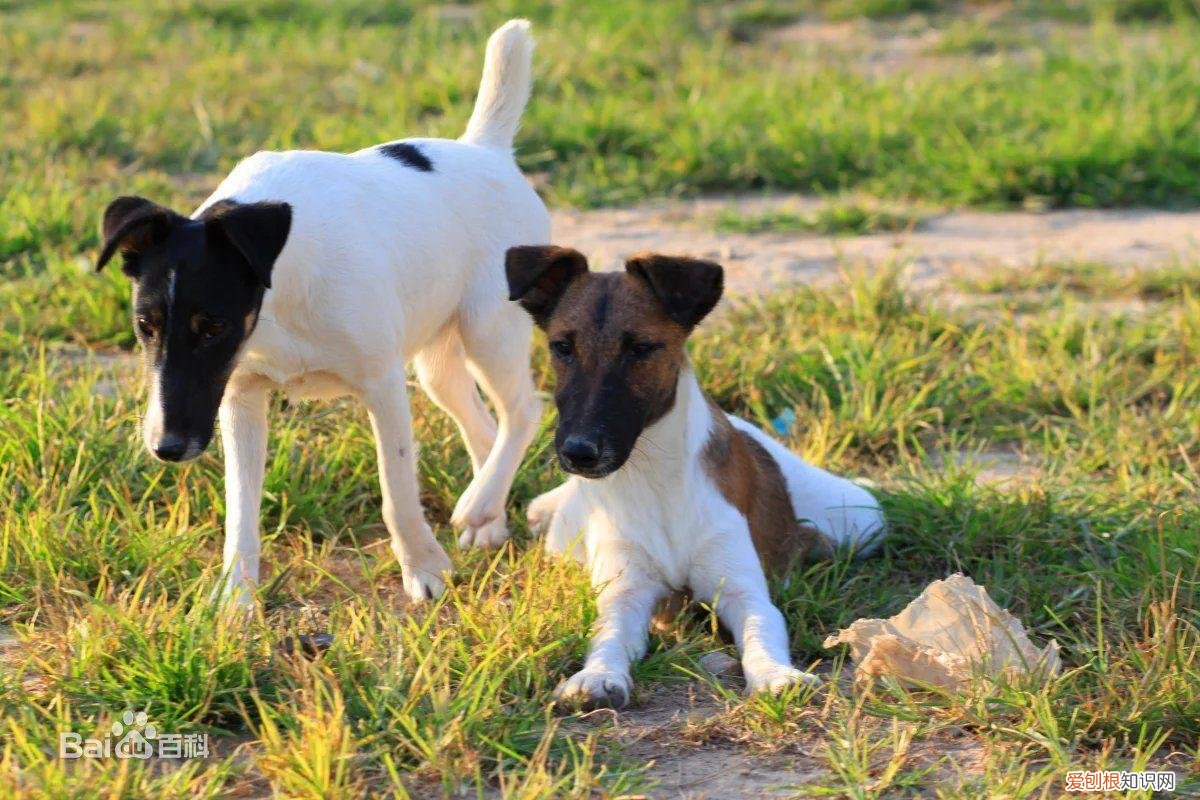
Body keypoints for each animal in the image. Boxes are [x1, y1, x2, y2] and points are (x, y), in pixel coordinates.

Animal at [98, 18, 549, 604]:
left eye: (213, 327)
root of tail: (486, 149)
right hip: (437, 363)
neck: (281, 288)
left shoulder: (382, 385)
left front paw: (424, 569)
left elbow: (397, 492)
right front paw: (236, 601)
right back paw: (486, 513)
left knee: (524, 411)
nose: (166, 448)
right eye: (145, 328)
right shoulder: (240, 396)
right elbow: (241, 514)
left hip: (488, 329)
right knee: (485, 426)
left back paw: (476, 503)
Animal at [501, 247, 888, 710]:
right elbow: (609, 633)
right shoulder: (625, 591)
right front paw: (596, 675)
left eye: (641, 348)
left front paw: (776, 675)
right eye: (562, 347)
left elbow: (760, 629)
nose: (578, 452)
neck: (654, 479)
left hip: (862, 520)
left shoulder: (742, 590)